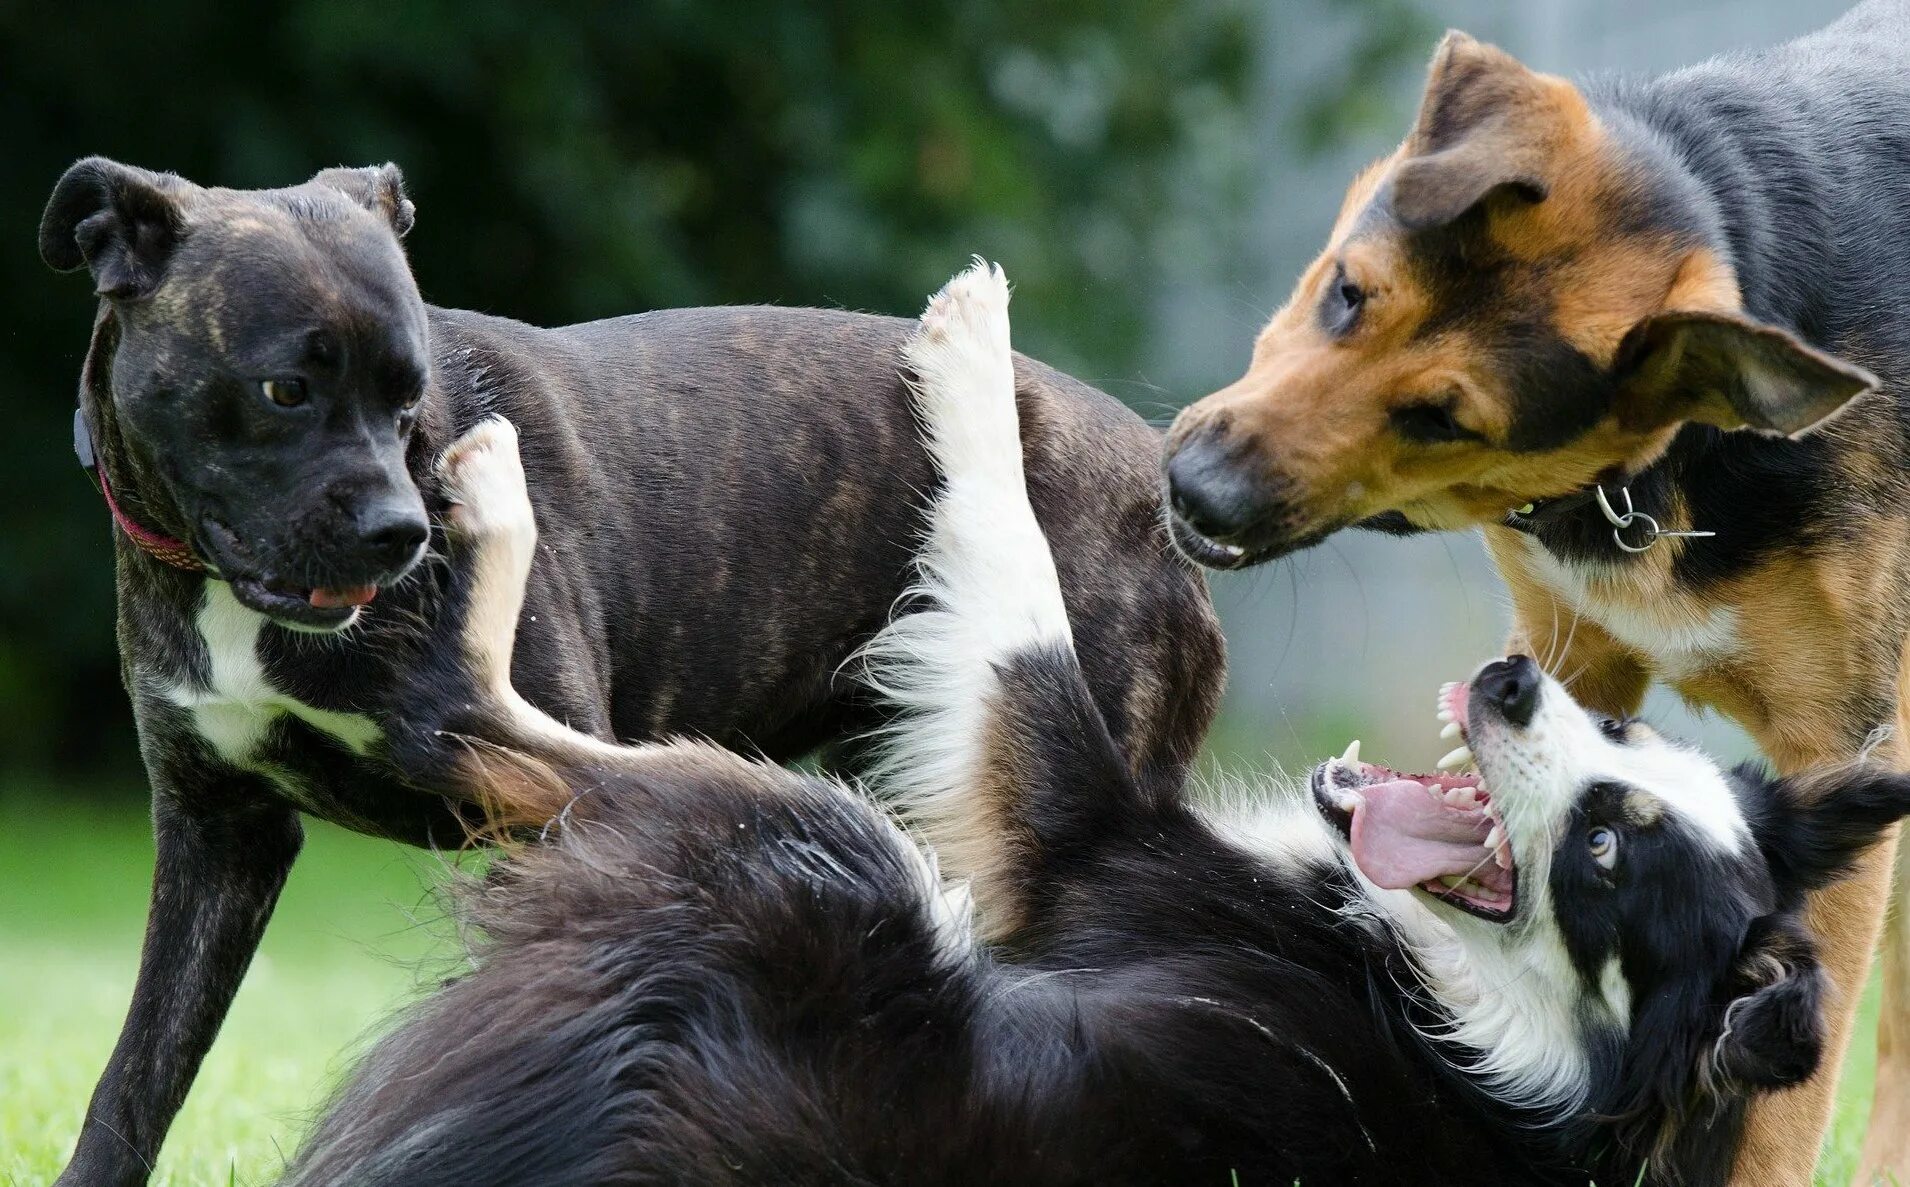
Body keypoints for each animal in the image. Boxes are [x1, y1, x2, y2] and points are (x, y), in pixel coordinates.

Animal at [41, 159, 1222, 1185]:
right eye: (285, 388)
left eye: (409, 398)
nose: (401, 531)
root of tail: (1155, 480)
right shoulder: (216, 833)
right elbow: (140, 1070)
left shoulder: (543, 824)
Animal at [1161, 4, 1910, 1177]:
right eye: (1346, 292)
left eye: (1441, 418)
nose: (1192, 491)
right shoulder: (1572, 653)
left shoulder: (1838, 739)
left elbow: (1781, 1096)